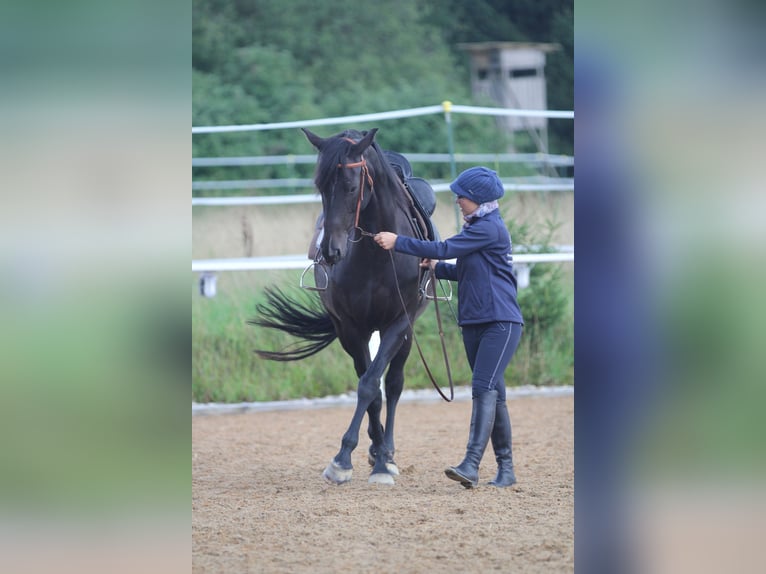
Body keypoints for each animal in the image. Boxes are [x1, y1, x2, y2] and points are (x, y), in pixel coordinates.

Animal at [250, 127, 432, 485]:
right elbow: (368, 388)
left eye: (350, 187)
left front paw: (371, 461)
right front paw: (350, 457)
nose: (331, 251)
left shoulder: (397, 323)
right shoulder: (351, 328)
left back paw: (388, 453)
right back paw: (377, 448)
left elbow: (374, 385)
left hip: (406, 332)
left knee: (394, 383)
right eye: (320, 187)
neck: (377, 255)